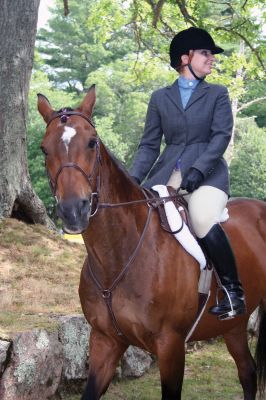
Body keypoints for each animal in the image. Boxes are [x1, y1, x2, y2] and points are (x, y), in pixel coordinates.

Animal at [37, 86, 266, 398]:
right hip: (234, 326)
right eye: (44, 149)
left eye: (92, 143)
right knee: (248, 372)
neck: (119, 255)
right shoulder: (105, 341)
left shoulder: (170, 345)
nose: (73, 210)